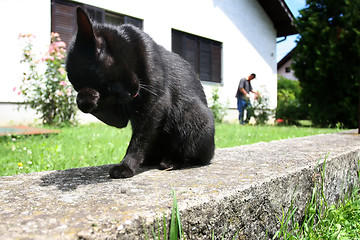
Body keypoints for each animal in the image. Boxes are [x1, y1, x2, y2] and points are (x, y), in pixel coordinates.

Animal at [66, 7, 215, 178]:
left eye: (112, 78)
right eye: (106, 91)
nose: (129, 94)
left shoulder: (156, 103)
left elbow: (139, 139)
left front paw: (126, 165)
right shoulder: (119, 117)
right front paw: (87, 97)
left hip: (194, 114)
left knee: (193, 156)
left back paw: (171, 161)